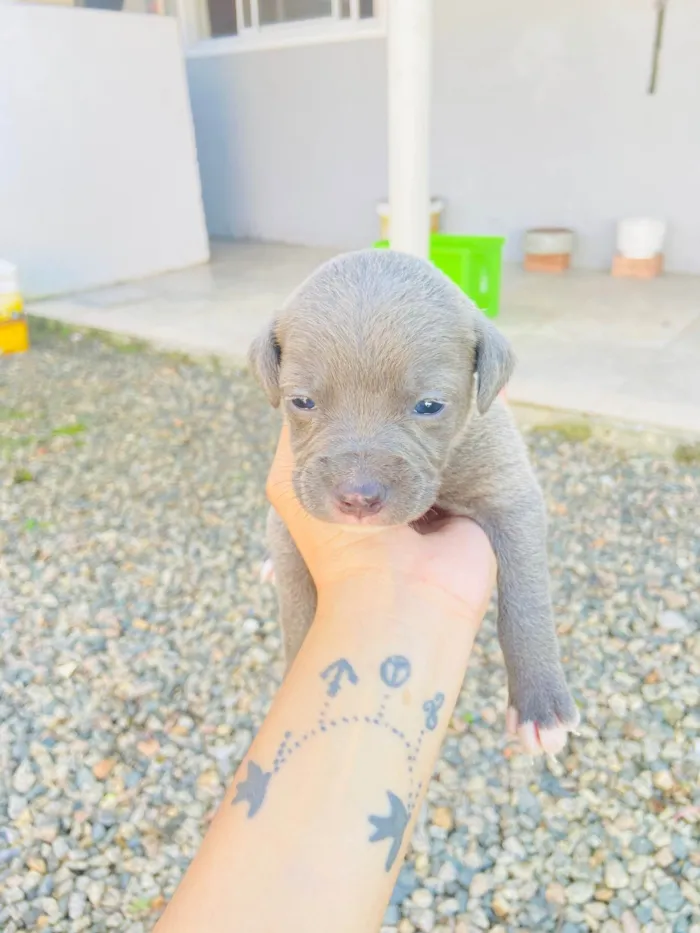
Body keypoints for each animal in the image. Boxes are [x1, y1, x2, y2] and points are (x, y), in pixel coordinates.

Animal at [252, 249, 580, 756]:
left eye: (429, 406)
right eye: (301, 402)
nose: (357, 497)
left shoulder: (510, 492)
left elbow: (526, 601)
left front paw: (540, 705)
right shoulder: (290, 523)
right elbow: (297, 607)